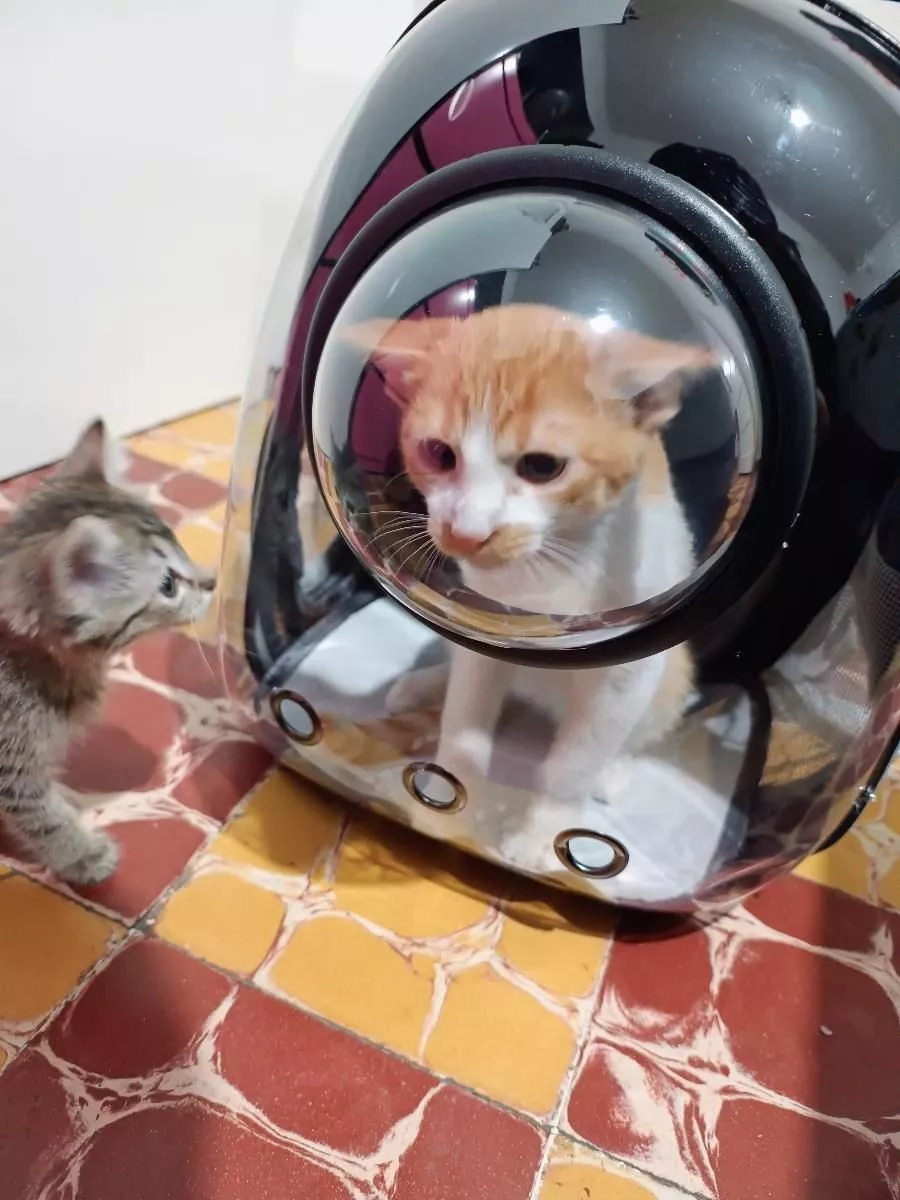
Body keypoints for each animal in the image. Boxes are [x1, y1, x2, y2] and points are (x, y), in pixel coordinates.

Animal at [344, 304, 715, 865]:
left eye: (542, 466)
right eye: (438, 453)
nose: (466, 532)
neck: (547, 572)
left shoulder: (631, 660)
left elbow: (574, 762)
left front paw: (547, 833)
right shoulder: (482, 623)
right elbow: (466, 724)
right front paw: (444, 803)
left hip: (672, 675)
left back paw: (615, 769)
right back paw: (425, 682)